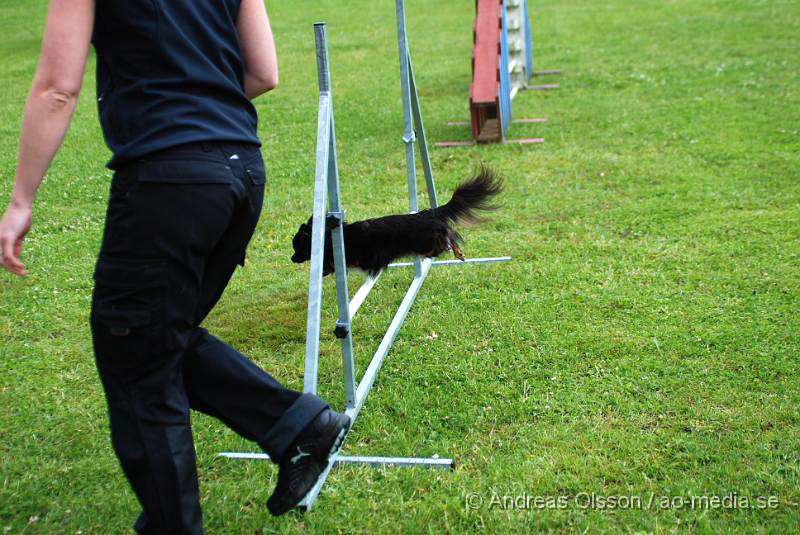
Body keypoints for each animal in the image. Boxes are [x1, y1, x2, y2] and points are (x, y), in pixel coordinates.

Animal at [290, 168, 504, 276]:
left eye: (298, 247)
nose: (291, 259)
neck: (329, 238)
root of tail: (426, 214)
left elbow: (332, 264)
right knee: (449, 235)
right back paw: (458, 252)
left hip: (425, 244)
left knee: (444, 239)